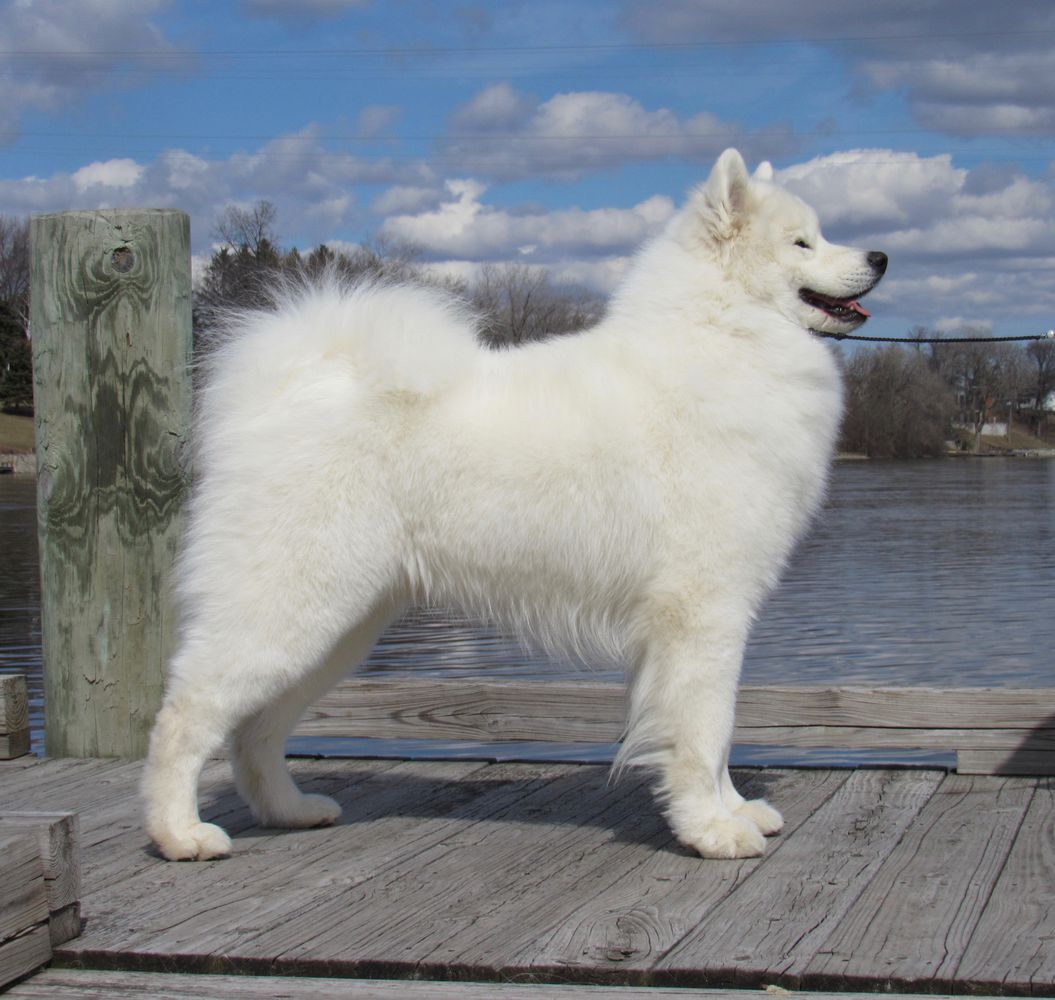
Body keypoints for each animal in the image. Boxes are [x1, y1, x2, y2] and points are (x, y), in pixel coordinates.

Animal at [138, 146, 881, 860]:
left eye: (822, 234)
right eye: (802, 243)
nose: (879, 257)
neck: (724, 335)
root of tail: (289, 388)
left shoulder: (706, 621)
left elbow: (715, 735)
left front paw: (733, 811)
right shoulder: (703, 611)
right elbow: (704, 731)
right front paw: (711, 831)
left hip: (338, 626)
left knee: (256, 731)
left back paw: (288, 810)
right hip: (289, 609)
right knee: (184, 713)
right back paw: (180, 835)